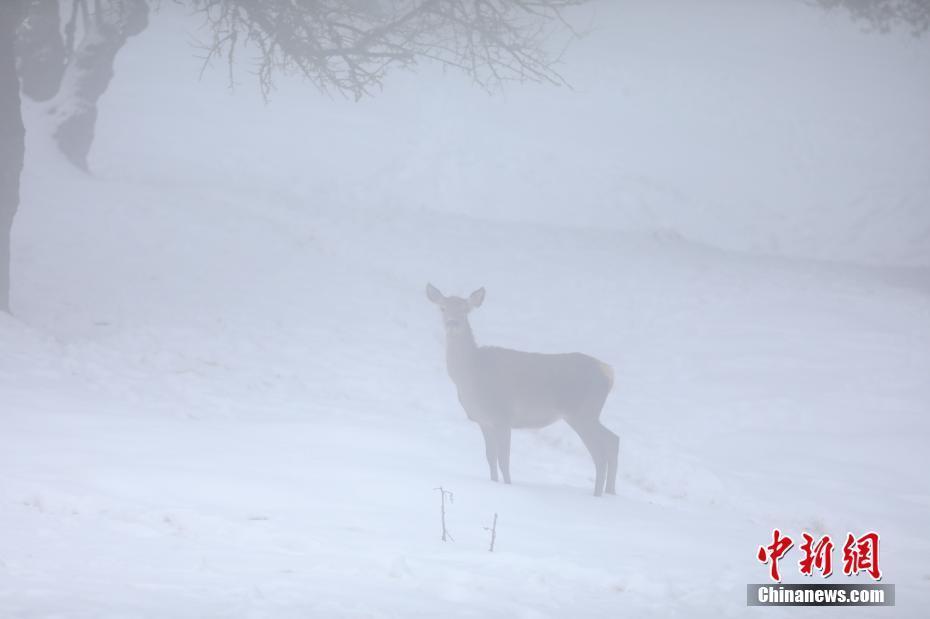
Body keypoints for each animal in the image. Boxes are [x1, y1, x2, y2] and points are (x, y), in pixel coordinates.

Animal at [426, 284, 616, 496]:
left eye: (465, 310)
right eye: (442, 308)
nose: (453, 323)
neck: (470, 375)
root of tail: (608, 372)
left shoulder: (502, 416)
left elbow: (504, 460)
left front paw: (508, 486)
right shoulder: (484, 421)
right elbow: (490, 458)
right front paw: (493, 483)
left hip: (582, 413)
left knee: (600, 454)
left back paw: (597, 495)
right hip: (589, 414)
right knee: (613, 440)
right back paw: (610, 492)